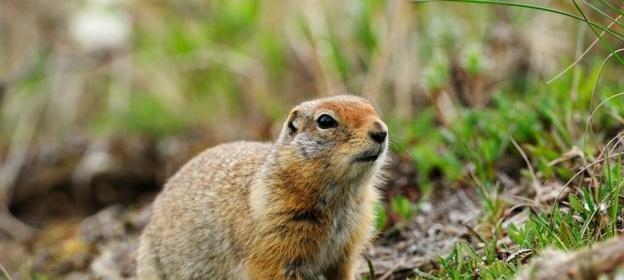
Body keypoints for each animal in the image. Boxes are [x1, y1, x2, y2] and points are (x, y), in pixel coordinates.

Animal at [139, 95, 388, 278]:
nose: (381, 131)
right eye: (325, 121)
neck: (342, 195)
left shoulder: (346, 250)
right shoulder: (273, 246)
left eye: (371, 108)